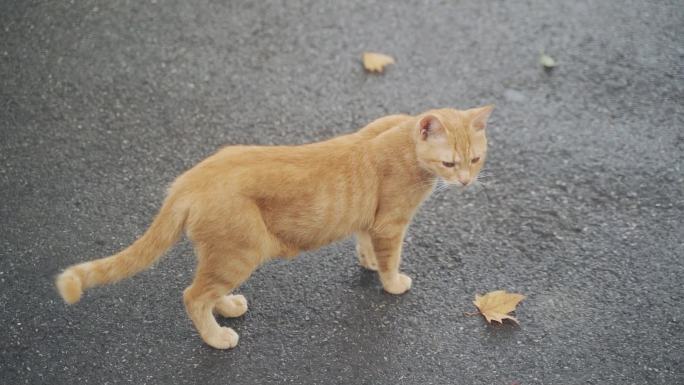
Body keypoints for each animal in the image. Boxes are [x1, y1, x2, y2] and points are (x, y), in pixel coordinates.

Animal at [53, 105, 492, 348]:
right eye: (450, 163)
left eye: (476, 160)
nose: (466, 182)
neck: (401, 137)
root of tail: (187, 180)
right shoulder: (391, 224)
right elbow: (390, 259)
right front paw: (393, 282)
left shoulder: (370, 221)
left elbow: (364, 244)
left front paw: (367, 263)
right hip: (240, 253)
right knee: (193, 296)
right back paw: (217, 337)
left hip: (221, 255)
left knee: (205, 288)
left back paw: (228, 306)